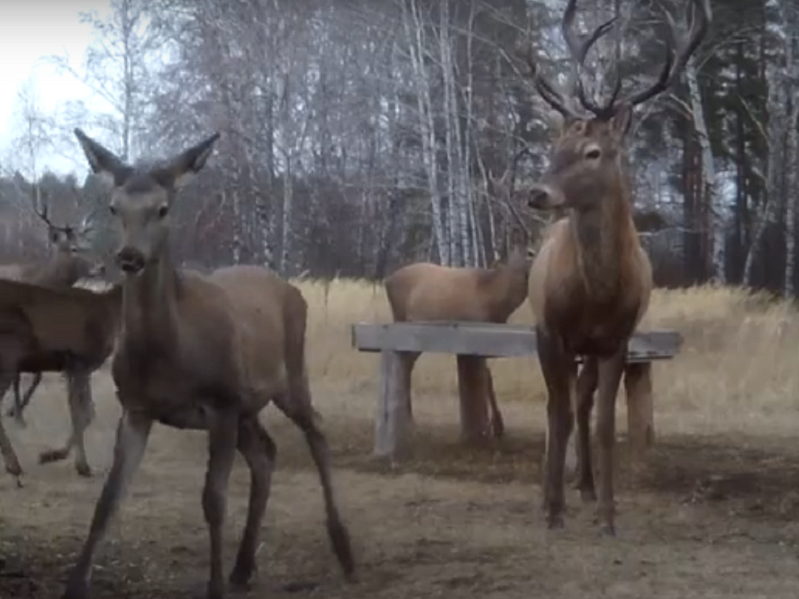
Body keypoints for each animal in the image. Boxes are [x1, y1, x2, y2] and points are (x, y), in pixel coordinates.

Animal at [0, 193, 103, 426]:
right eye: (74, 248)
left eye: (87, 244)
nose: (100, 266)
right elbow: (19, 376)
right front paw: (18, 415)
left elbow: (37, 376)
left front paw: (13, 411)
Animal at [0, 280, 122, 482]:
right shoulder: (81, 360)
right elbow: (80, 413)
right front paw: (82, 466)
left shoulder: (75, 367)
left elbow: (88, 412)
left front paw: (52, 455)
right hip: (8, 353)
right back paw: (14, 465)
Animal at [62, 127, 356, 599]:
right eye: (114, 207)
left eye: (162, 208)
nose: (129, 257)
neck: (170, 354)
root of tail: (289, 287)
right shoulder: (137, 407)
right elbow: (108, 498)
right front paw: (75, 584)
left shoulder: (220, 402)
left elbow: (213, 501)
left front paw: (213, 586)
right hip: (248, 404)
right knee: (266, 454)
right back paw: (243, 566)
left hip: (287, 375)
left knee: (316, 431)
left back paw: (344, 552)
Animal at [384, 246, 536, 442]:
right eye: (525, 254)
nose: (534, 254)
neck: (493, 300)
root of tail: (387, 280)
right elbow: (487, 379)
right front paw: (495, 426)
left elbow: (486, 377)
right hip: (401, 320)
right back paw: (409, 420)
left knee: (407, 366)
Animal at [520, 0, 708, 536]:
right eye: (554, 149)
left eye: (593, 152)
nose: (536, 192)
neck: (598, 295)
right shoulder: (551, 331)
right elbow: (556, 413)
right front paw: (552, 508)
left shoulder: (617, 339)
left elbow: (605, 425)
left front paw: (607, 513)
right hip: (551, 337)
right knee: (560, 407)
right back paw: (557, 492)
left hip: (589, 349)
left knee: (582, 403)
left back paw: (584, 485)